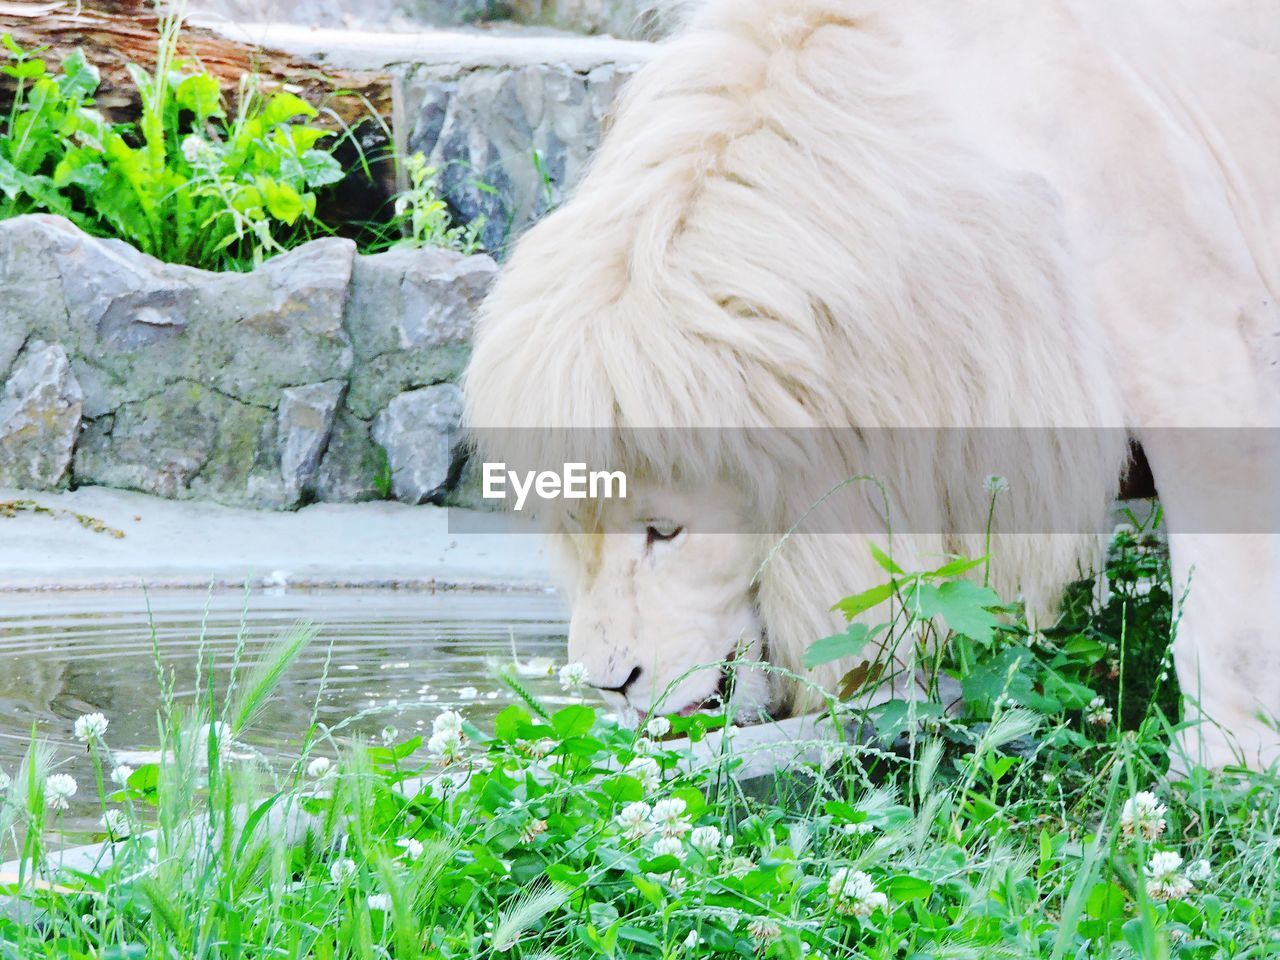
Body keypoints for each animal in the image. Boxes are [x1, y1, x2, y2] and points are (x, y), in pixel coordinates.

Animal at [468, 0, 1280, 773]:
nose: (613, 685)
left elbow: (1229, 612)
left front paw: (1222, 768)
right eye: (573, 531)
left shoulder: (1199, 334)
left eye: (665, 530)